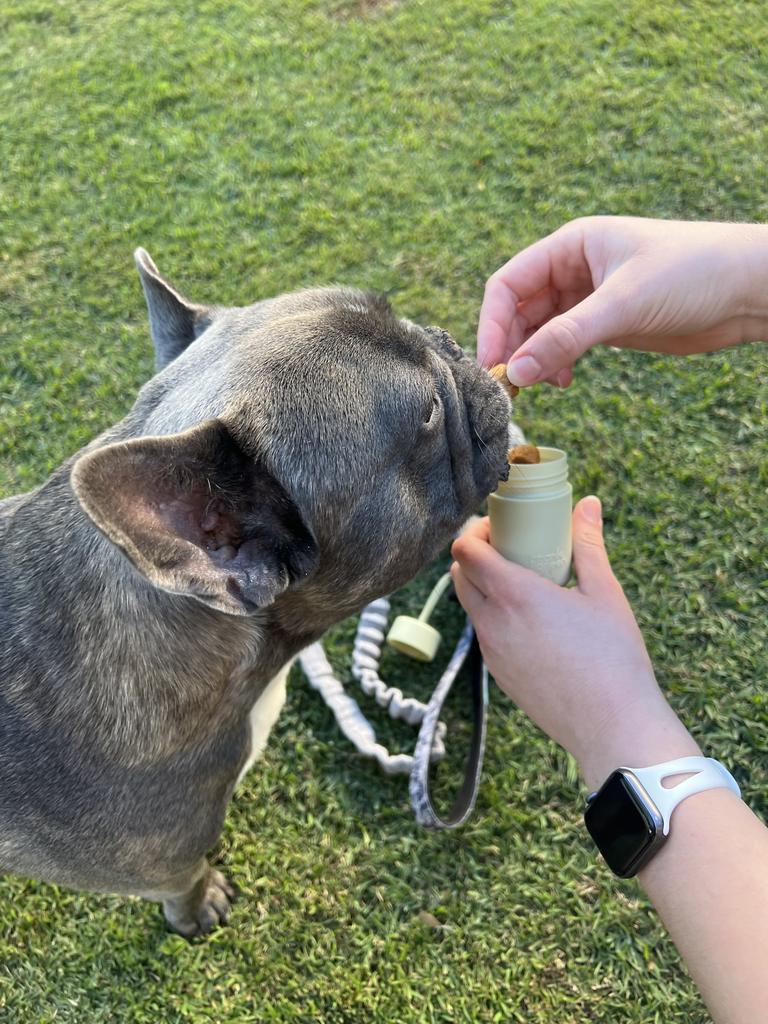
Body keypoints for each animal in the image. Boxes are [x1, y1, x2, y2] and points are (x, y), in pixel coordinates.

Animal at [1, 249, 518, 937]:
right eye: (430, 414)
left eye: (399, 314)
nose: (449, 342)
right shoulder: (164, 866)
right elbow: (186, 881)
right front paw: (199, 909)